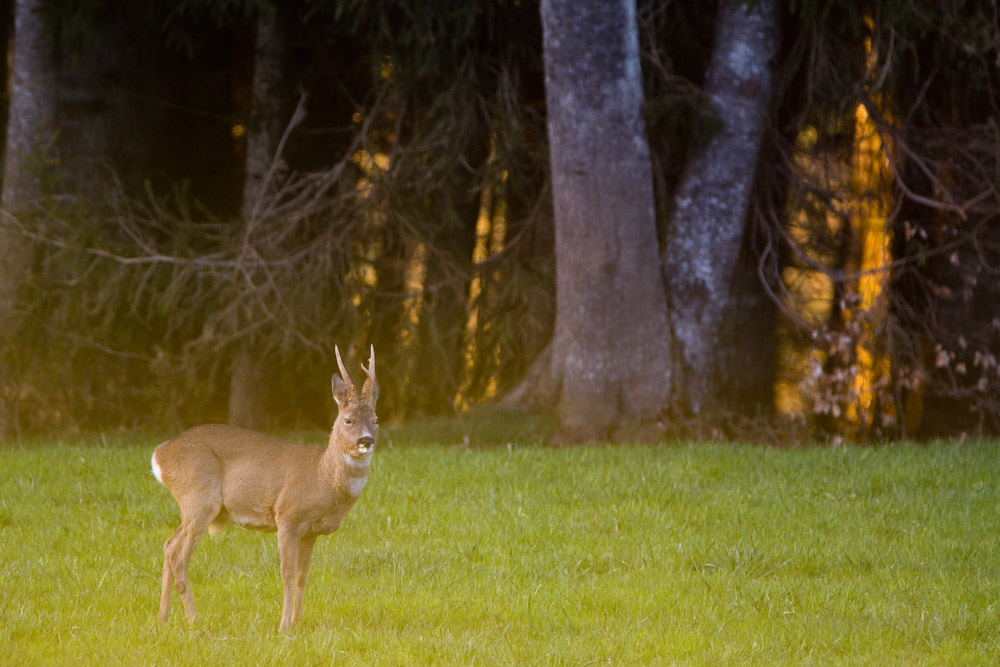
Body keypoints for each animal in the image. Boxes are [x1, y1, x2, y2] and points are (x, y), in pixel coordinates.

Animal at [151, 348, 378, 636]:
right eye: (348, 420)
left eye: (375, 420)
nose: (366, 440)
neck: (322, 475)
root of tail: (159, 455)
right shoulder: (288, 517)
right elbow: (287, 574)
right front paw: (284, 627)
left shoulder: (310, 533)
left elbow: (302, 576)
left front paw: (298, 622)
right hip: (200, 498)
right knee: (179, 557)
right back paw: (195, 619)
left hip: (194, 506)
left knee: (169, 545)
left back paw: (163, 617)